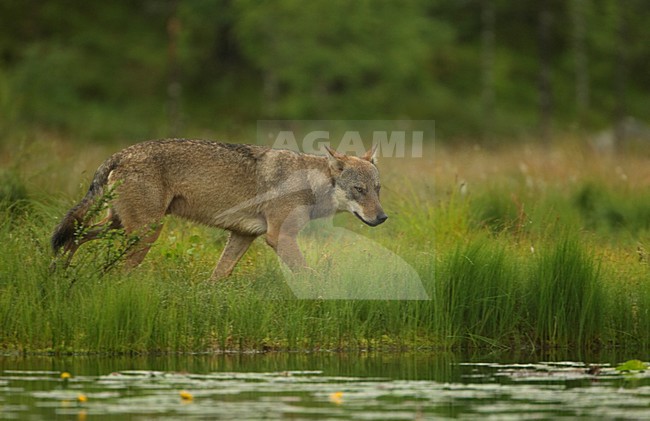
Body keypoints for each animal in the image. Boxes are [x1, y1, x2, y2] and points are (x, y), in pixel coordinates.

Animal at [51, 139, 387, 280]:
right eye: (359, 190)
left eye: (378, 189)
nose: (382, 217)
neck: (307, 182)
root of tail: (120, 154)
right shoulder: (279, 237)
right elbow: (310, 274)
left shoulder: (242, 236)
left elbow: (218, 276)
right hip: (145, 233)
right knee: (112, 267)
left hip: (118, 225)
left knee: (74, 234)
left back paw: (59, 271)